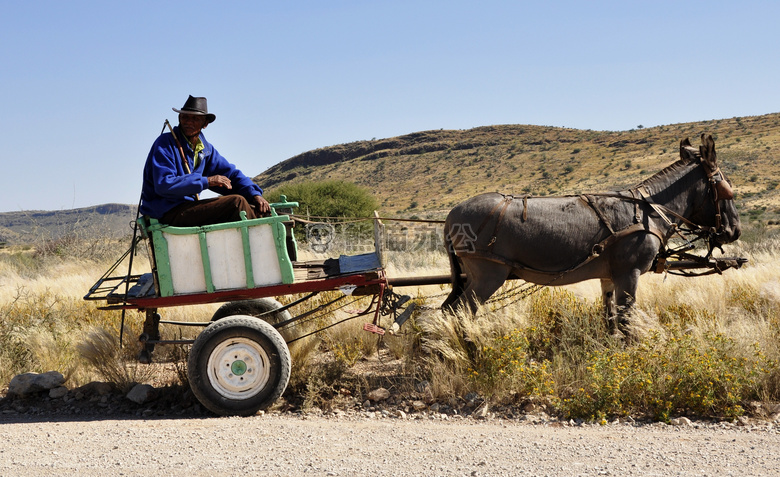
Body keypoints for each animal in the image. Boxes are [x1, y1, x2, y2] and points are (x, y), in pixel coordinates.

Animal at [441, 134, 741, 336]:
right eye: (727, 189)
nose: (734, 231)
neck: (649, 211)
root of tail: (452, 214)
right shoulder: (628, 274)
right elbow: (626, 321)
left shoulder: (609, 277)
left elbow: (610, 320)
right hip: (488, 275)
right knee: (460, 313)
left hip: (471, 277)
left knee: (447, 311)